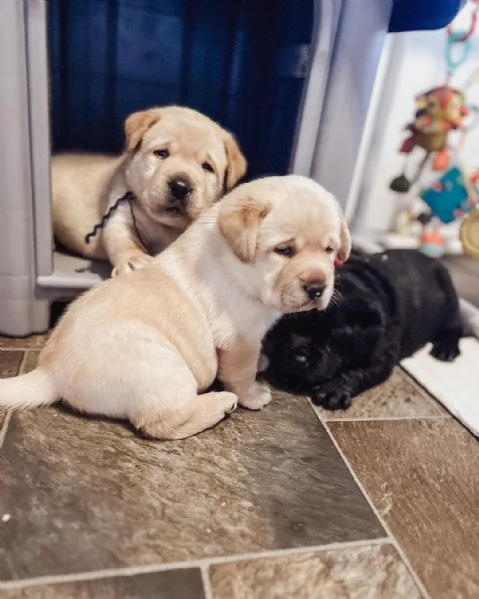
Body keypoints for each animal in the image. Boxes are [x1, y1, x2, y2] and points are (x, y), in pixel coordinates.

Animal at [0, 173, 352, 440]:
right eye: (285, 250)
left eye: (330, 250)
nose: (317, 288)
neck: (235, 266)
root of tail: (51, 371)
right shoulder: (240, 339)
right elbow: (241, 373)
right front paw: (253, 394)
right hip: (160, 364)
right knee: (160, 423)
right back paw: (220, 402)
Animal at [52, 106, 248, 276]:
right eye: (161, 153)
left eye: (207, 167)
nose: (180, 187)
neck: (166, 225)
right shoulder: (119, 212)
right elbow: (123, 240)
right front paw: (133, 260)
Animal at [260, 250, 464, 412]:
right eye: (286, 326)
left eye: (332, 342)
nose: (299, 357)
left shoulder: (381, 358)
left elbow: (357, 372)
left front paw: (335, 389)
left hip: (451, 303)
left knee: (454, 325)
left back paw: (446, 349)